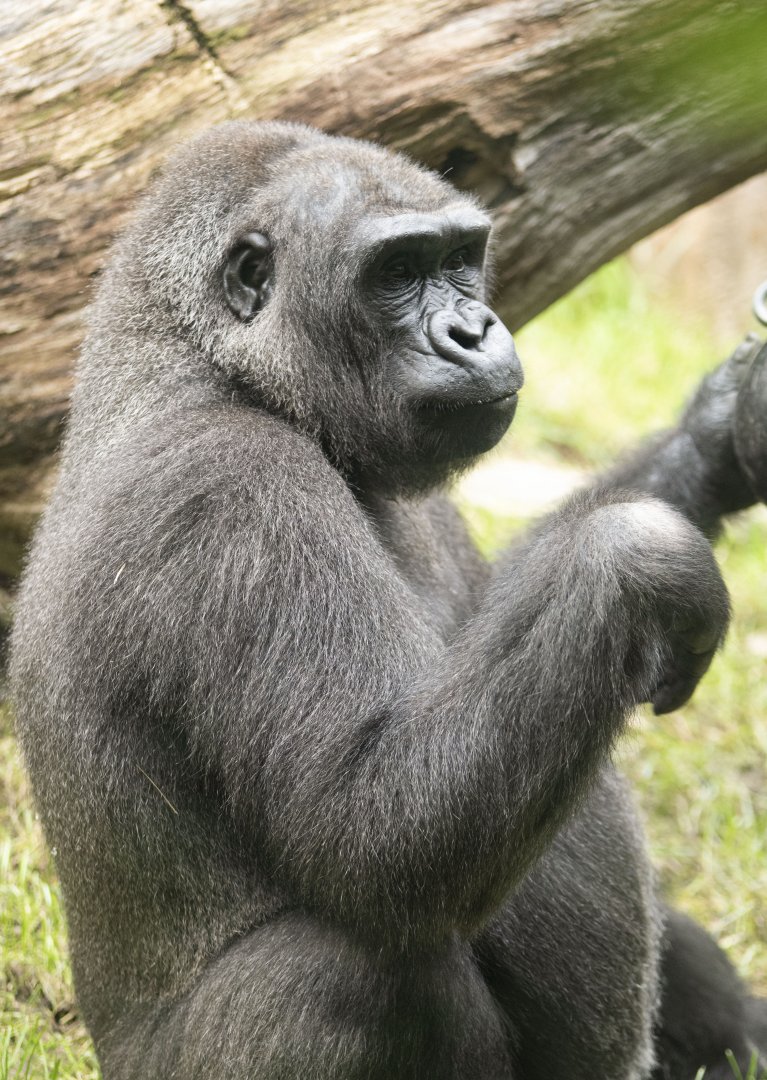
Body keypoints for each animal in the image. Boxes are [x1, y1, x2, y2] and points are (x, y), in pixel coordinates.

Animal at [10, 121, 767, 1079]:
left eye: (459, 261)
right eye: (397, 272)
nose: (473, 330)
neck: (204, 362)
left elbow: (515, 619)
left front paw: (726, 429)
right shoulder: (229, 489)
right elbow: (371, 828)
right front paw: (643, 555)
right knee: (359, 982)